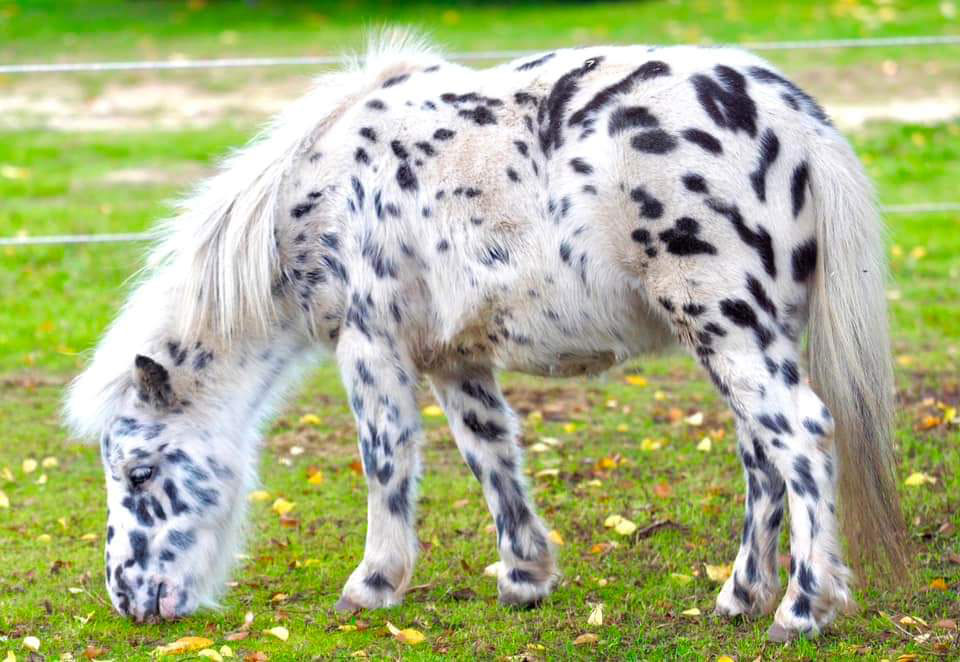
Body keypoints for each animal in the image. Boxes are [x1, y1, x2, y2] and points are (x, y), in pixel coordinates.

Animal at [65, 33, 908, 640]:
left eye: (138, 472)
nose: (127, 599)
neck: (317, 196)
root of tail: (793, 117)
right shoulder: (454, 358)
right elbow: (490, 457)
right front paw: (526, 577)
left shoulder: (369, 347)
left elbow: (386, 463)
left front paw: (372, 585)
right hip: (743, 337)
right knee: (762, 455)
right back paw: (739, 597)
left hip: (726, 327)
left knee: (801, 436)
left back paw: (801, 610)